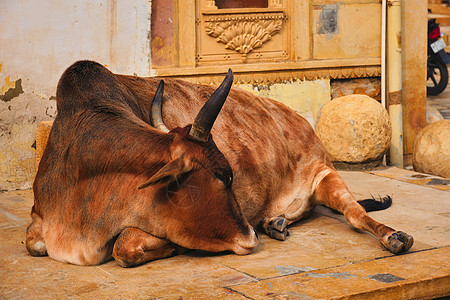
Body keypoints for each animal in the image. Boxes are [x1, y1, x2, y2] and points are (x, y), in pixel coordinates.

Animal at [26, 61, 414, 268]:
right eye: (222, 175)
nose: (250, 237)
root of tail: (300, 121)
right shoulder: (38, 219)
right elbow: (34, 245)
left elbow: (123, 247)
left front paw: (177, 247)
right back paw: (275, 223)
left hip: (326, 174)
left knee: (355, 213)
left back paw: (394, 237)